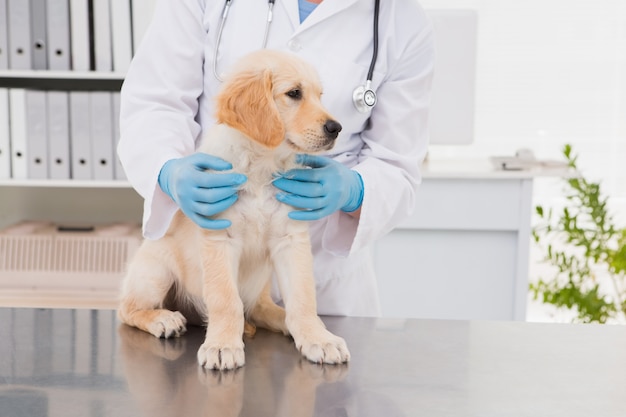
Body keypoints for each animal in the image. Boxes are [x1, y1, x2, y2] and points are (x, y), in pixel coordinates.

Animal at [118, 49, 352, 370]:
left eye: (320, 95)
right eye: (294, 93)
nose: (336, 128)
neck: (262, 166)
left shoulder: (291, 241)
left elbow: (303, 298)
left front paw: (318, 337)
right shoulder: (219, 239)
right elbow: (226, 300)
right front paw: (222, 345)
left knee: (261, 309)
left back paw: (282, 320)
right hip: (155, 270)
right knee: (127, 309)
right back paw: (163, 319)